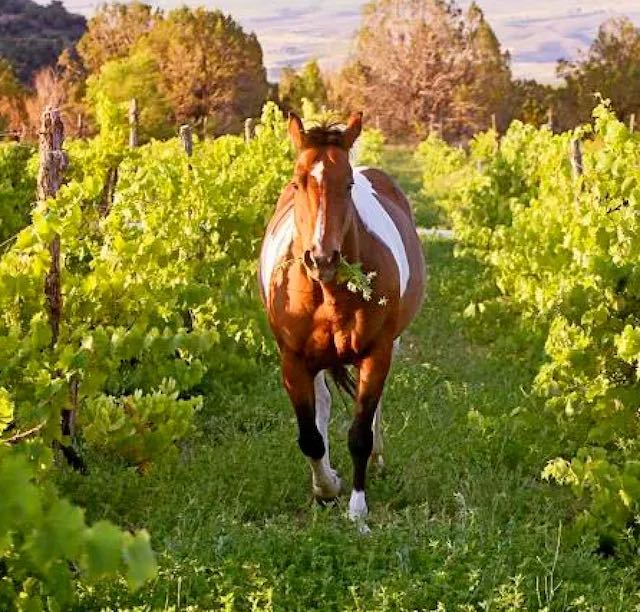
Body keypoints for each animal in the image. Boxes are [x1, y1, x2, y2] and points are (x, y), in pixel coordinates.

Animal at [258, 112, 428, 524]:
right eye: (297, 182)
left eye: (348, 184)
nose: (322, 258)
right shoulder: (292, 360)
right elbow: (309, 436)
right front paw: (326, 487)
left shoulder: (377, 354)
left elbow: (360, 434)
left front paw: (357, 508)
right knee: (321, 405)